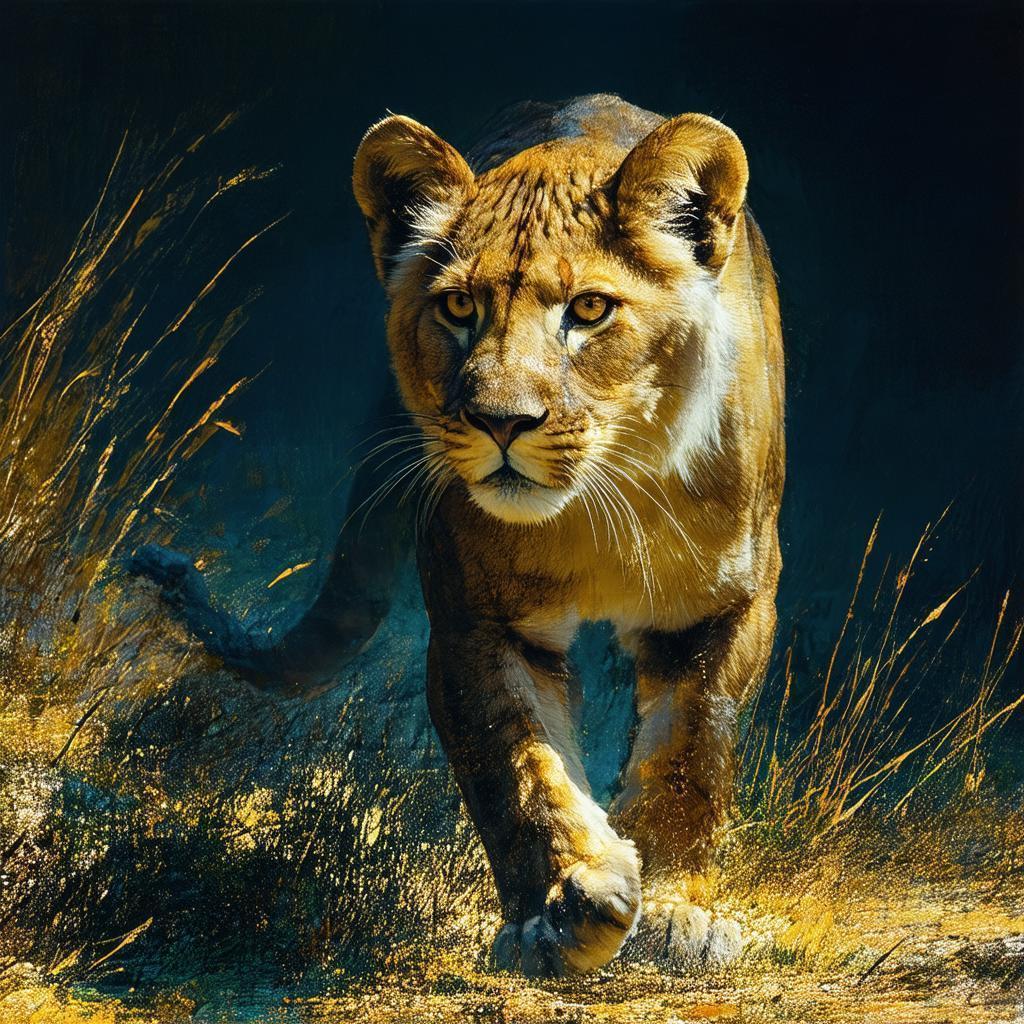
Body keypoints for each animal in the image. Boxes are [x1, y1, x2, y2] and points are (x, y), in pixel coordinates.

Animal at [131, 94, 784, 978]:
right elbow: (517, 769)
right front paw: (562, 909)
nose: (500, 421)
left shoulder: (728, 606)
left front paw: (681, 916)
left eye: (589, 310)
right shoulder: (475, 622)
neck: (598, 506)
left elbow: (691, 754)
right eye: (459, 307)